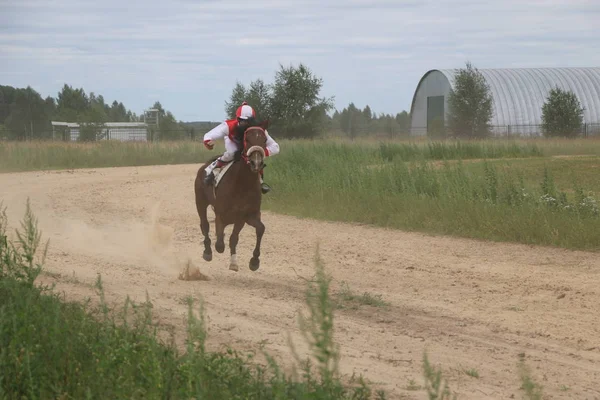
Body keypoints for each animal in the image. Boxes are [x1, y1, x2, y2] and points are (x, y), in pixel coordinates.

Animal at [193, 122, 268, 272]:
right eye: (247, 139)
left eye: (264, 140)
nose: (256, 163)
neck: (242, 185)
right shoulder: (221, 214)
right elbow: (220, 243)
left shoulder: (245, 216)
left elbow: (254, 231)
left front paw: (253, 261)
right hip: (200, 201)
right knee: (204, 225)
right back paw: (207, 251)